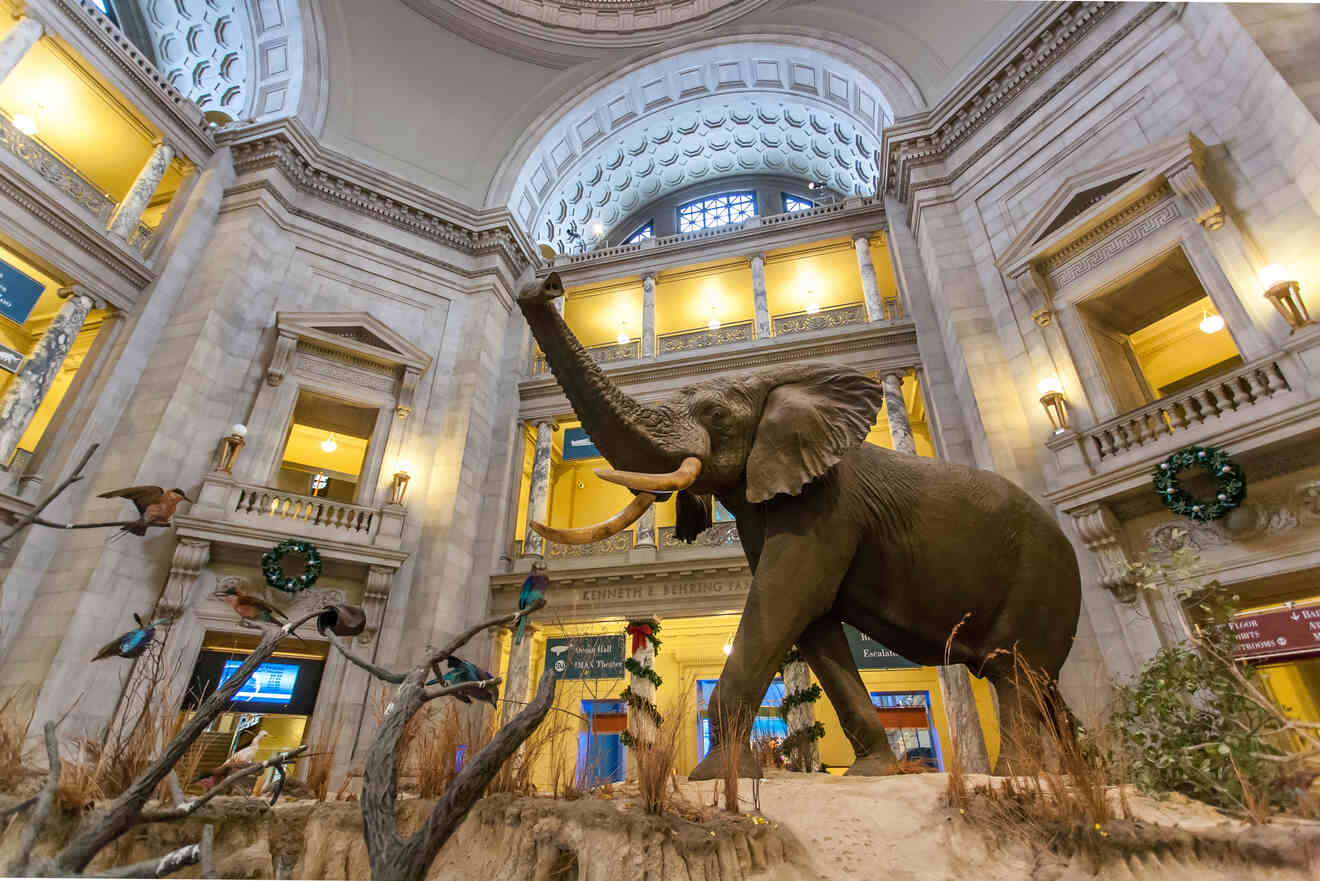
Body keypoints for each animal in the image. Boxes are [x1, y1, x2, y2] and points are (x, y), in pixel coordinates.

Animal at [514, 276, 1082, 776]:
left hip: (1039, 577)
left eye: (716, 415)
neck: (775, 383)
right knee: (1041, 687)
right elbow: (814, 625)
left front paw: (716, 775)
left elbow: (785, 600)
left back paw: (1020, 779)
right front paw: (873, 772)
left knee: (1015, 678)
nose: (544, 283)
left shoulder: (828, 504)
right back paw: (1068, 775)